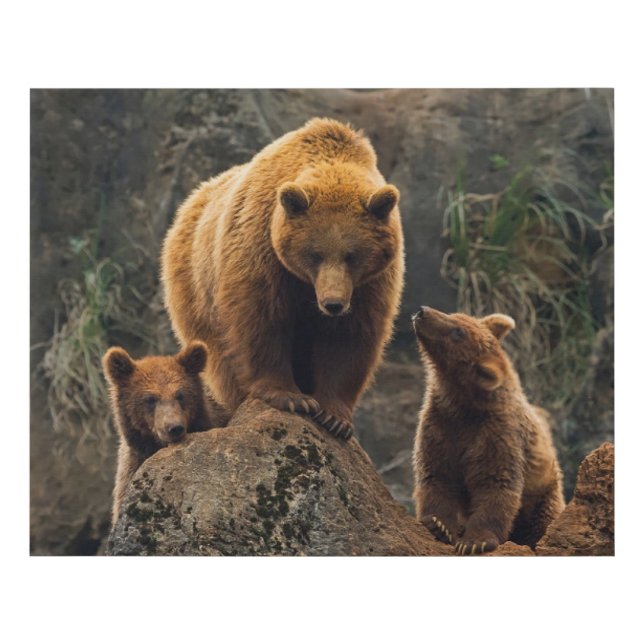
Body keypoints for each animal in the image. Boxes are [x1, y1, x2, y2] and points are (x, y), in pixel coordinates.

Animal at [161, 117, 404, 439]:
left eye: (352, 255)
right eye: (315, 253)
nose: (333, 304)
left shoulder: (369, 285)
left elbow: (349, 337)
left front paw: (334, 416)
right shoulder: (262, 251)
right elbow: (261, 320)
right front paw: (292, 398)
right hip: (196, 290)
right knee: (220, 357)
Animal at [412, 306, 565, 554]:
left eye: (458, 332)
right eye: (455, 315)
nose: (422, 312)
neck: (462, 404)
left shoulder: (497, 435)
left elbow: (494, 485)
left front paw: (475, 542)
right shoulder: (439, 426)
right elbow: (437, 475)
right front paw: (439, 525)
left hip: (543, 493)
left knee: (543, 520)